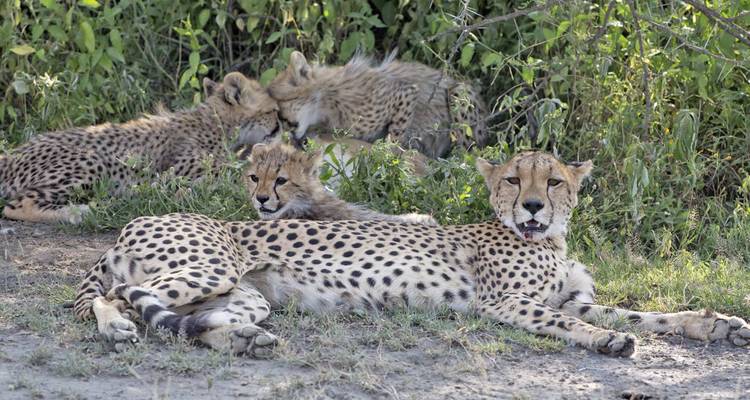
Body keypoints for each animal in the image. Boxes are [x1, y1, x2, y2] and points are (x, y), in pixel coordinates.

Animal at [0, 72, 280, 224]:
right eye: (272, 110)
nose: (281, 126)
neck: (215, 121)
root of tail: (13, 154)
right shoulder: (182, 172)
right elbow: (230, 176)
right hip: (94, 161)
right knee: (15, 206)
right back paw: (79, 211)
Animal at [73, 151, 750, 356]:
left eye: (554, 180)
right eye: (513, 179)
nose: (532, 206)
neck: (548, 239)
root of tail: (133, 221)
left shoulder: (579, 298)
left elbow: (647, 313)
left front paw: (717, 325)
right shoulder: (508, 307)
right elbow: (572, 323)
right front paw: (608, 342)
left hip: (245, 294)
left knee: (189, 321)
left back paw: (243, 341)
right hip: (208, 265)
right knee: (117, 299)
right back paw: (114, 330)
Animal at [267, 51, 490, 159]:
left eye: (282, 106)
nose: (285, 130)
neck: (326, 101)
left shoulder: (406, 93)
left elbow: (394, 138)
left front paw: (388, 164)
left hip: (459, 93)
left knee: (469, 152)